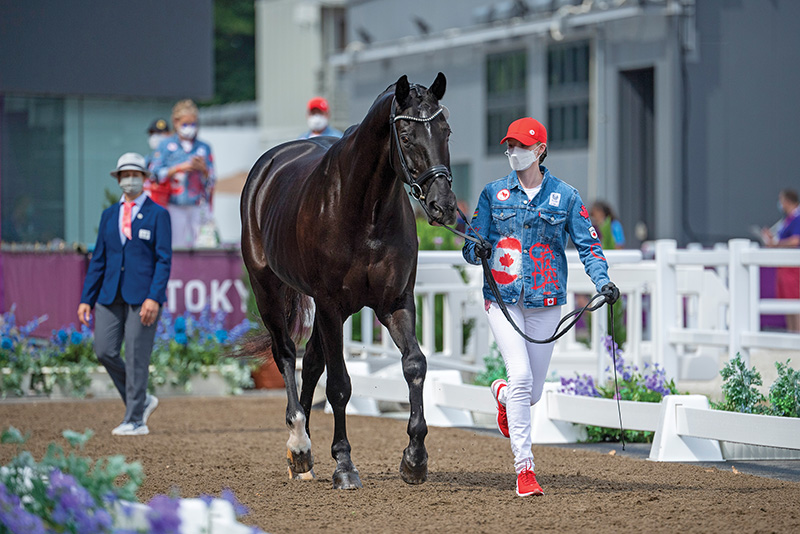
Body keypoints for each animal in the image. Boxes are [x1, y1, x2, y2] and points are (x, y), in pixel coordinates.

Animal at [240, 73, 457, 489]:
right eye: (406, 136)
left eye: (446, 131)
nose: (444, 205)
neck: (365, 209)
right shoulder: (329, 305)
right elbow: (340, 385)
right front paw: (343, 465)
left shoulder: (396, 303)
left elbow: (415, 365)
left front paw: (415, 459)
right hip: (268, 290)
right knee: (287, 355)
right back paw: (299, 442)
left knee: (310, 364)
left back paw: (302, 456)